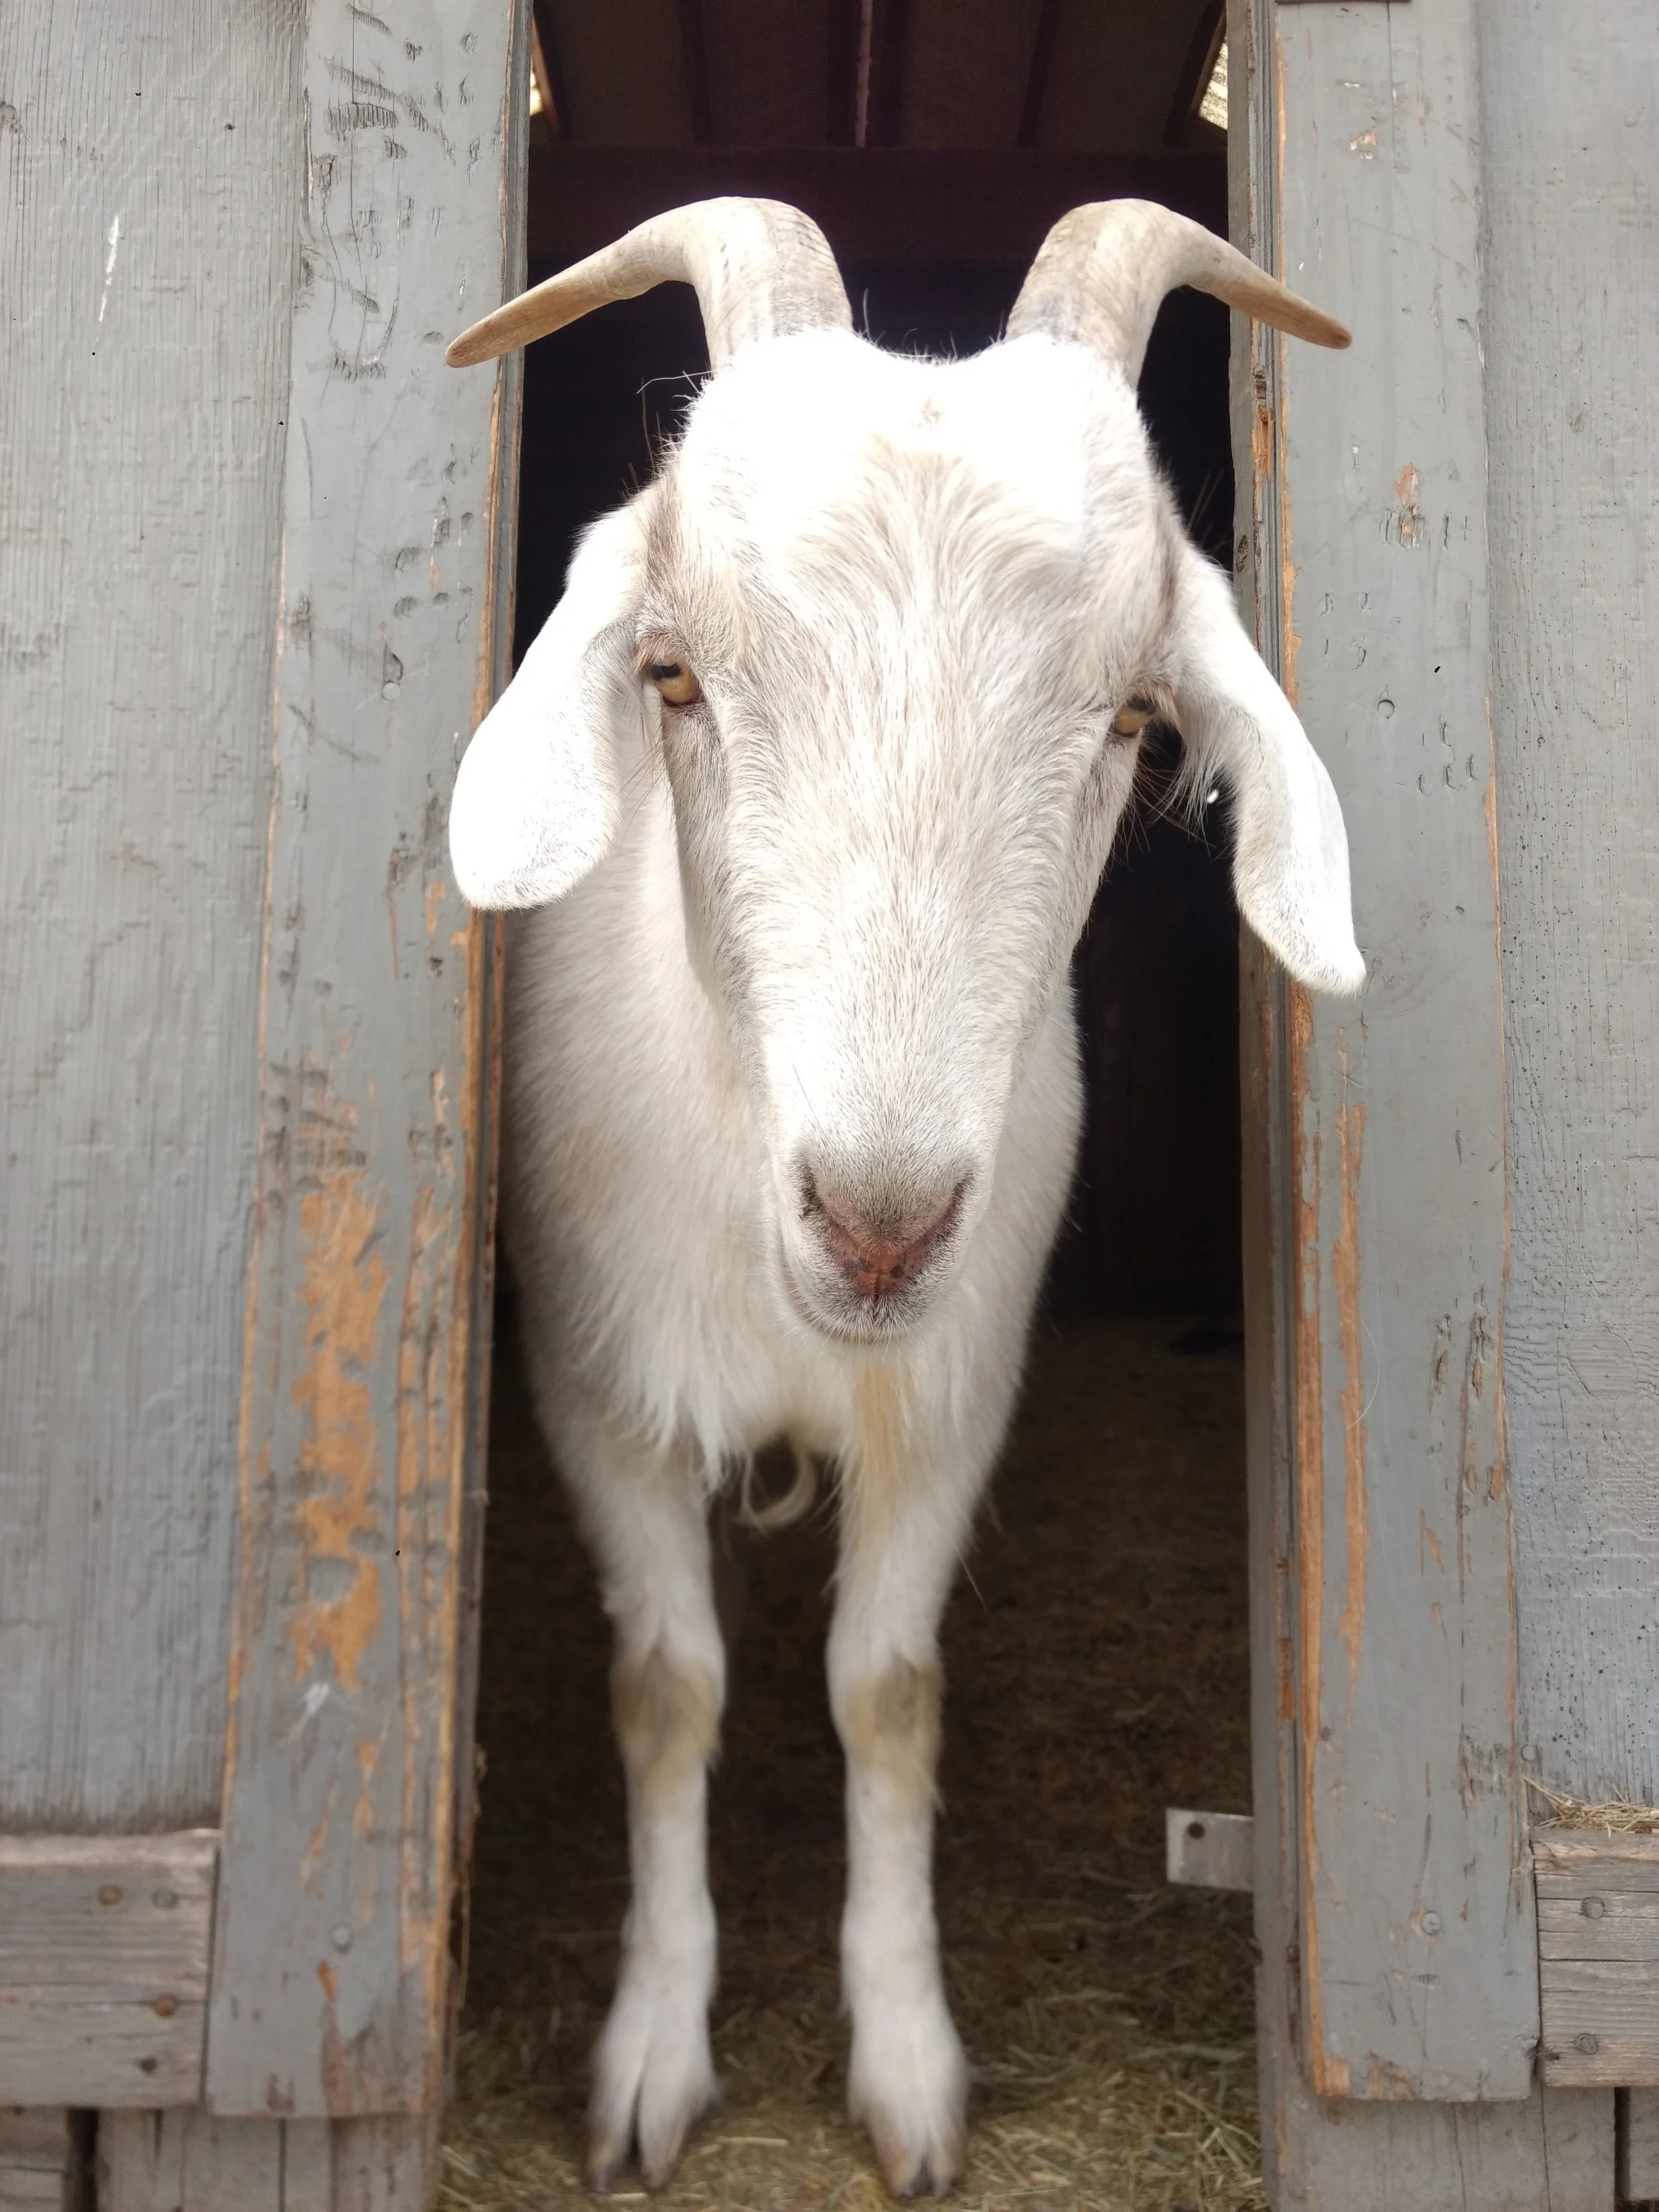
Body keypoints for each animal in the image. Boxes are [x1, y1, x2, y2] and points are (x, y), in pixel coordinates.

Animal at [446, 197, 1360, 2198]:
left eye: (1137, 718)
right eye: (672, 676)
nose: (877, 1222)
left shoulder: (951, 1399)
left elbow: (887, 1688)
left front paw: (908, 2059)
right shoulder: (595, 1390)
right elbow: (668, 1686)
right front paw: (653, 2049)